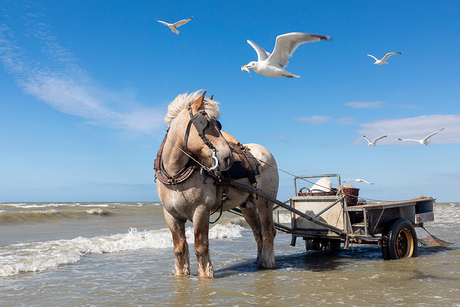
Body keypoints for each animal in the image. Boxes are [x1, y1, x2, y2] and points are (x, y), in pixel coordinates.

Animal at [155, 89, 278, 280]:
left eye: (218, 125)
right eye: (204, 123)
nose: (228, 158)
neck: (175, 176)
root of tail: (266, 153)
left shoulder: (201, 211)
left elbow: (201, 246)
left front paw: (206, 274)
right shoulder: (171, 215)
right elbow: (179, 248)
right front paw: (180, 274)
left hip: (265, 201)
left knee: (268, 232)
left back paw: (266, 262)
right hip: (248, 205)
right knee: (258, 233)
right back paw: (258, 261)